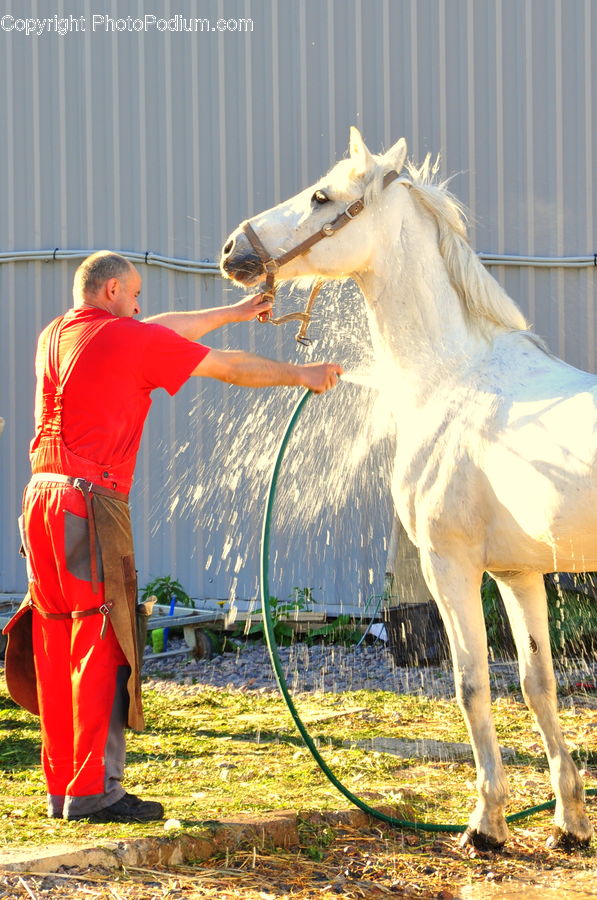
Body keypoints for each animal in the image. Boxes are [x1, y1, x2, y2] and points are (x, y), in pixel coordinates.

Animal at [220, 128, 597, 851]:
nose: (233, 250)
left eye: (322, 196)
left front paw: (485, 825)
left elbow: (471, 685)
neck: (454, 374)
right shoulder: (518, 572)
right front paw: (567, 822)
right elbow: (536, 684)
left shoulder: (450, 564)